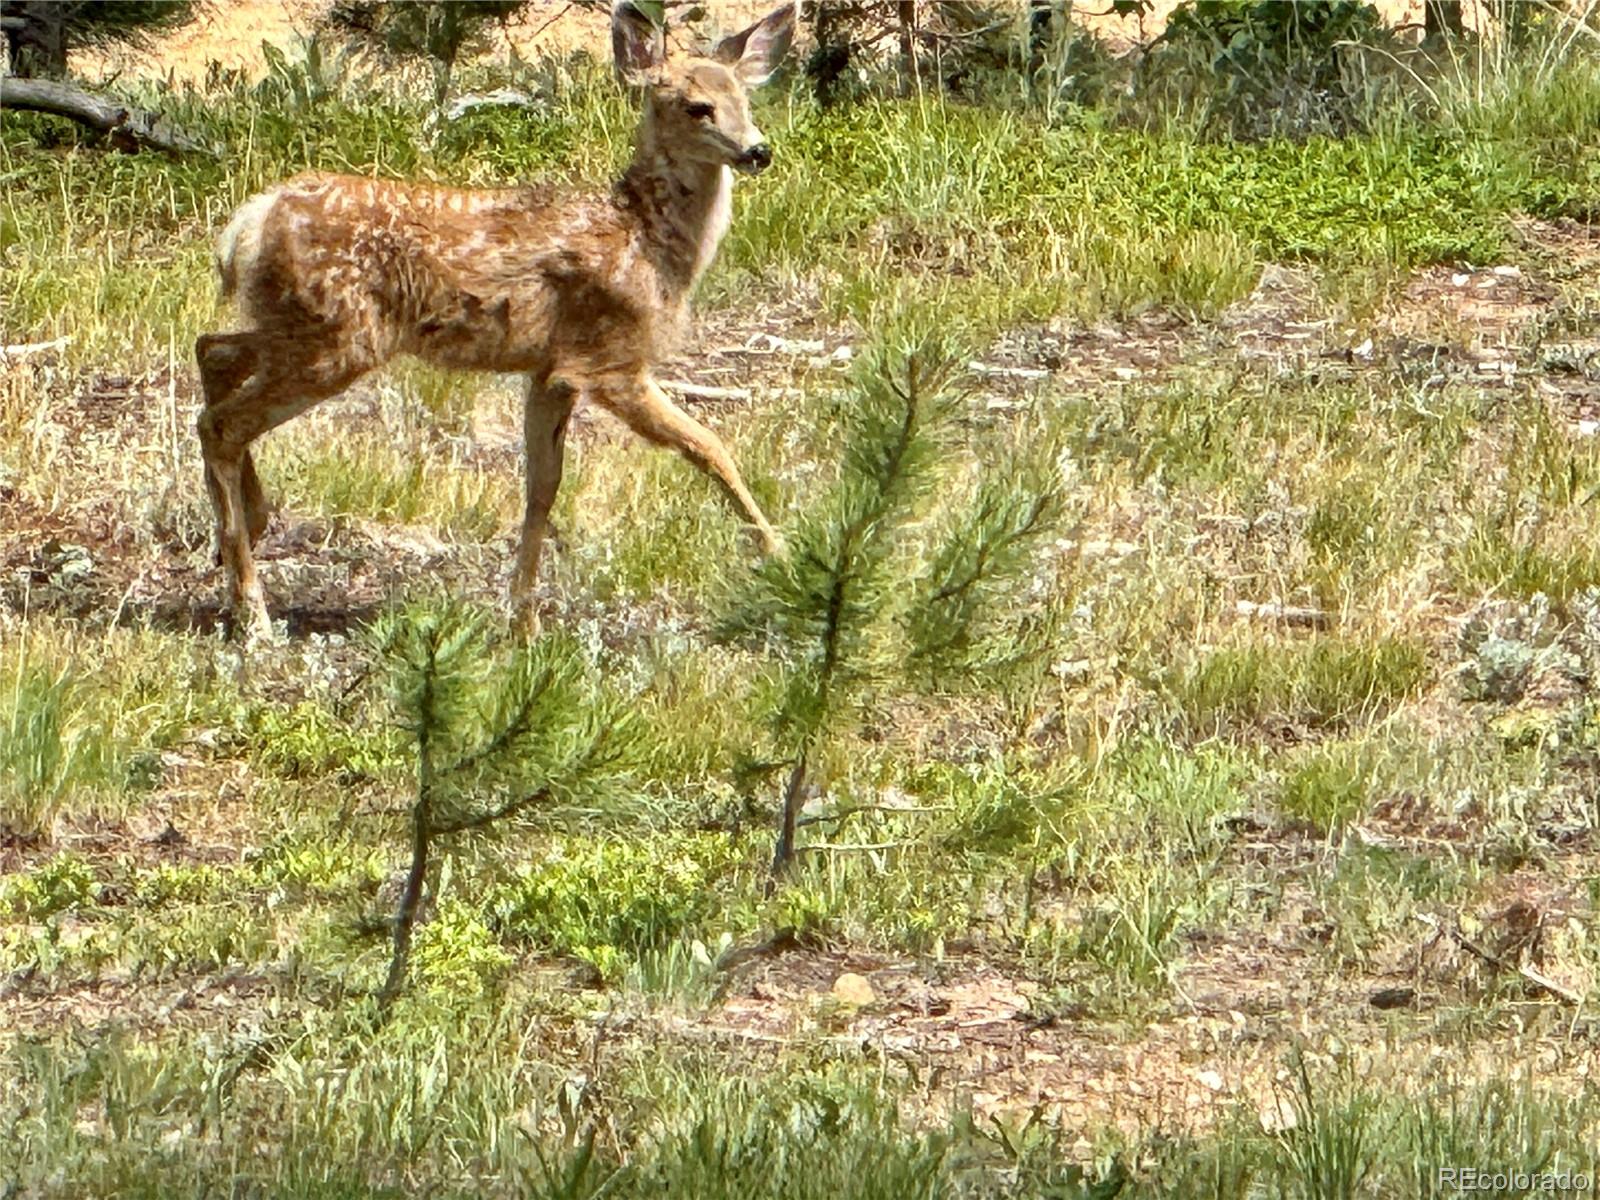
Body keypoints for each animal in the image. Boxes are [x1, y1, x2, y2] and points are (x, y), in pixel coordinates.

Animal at [195, 4, 793, 643]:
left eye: (745, 100)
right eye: (697, 106)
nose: (758, 151)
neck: (646, 242)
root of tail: (249, 224)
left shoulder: (550, 371)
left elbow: (543, 489)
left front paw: (523, 619)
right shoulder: (610, 359)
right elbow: (709, 446)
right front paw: (778, 555)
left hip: (300, 326)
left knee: (213, 352)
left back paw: (245, 534)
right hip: (338, 340)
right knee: (222, 422)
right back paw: (251, 610)